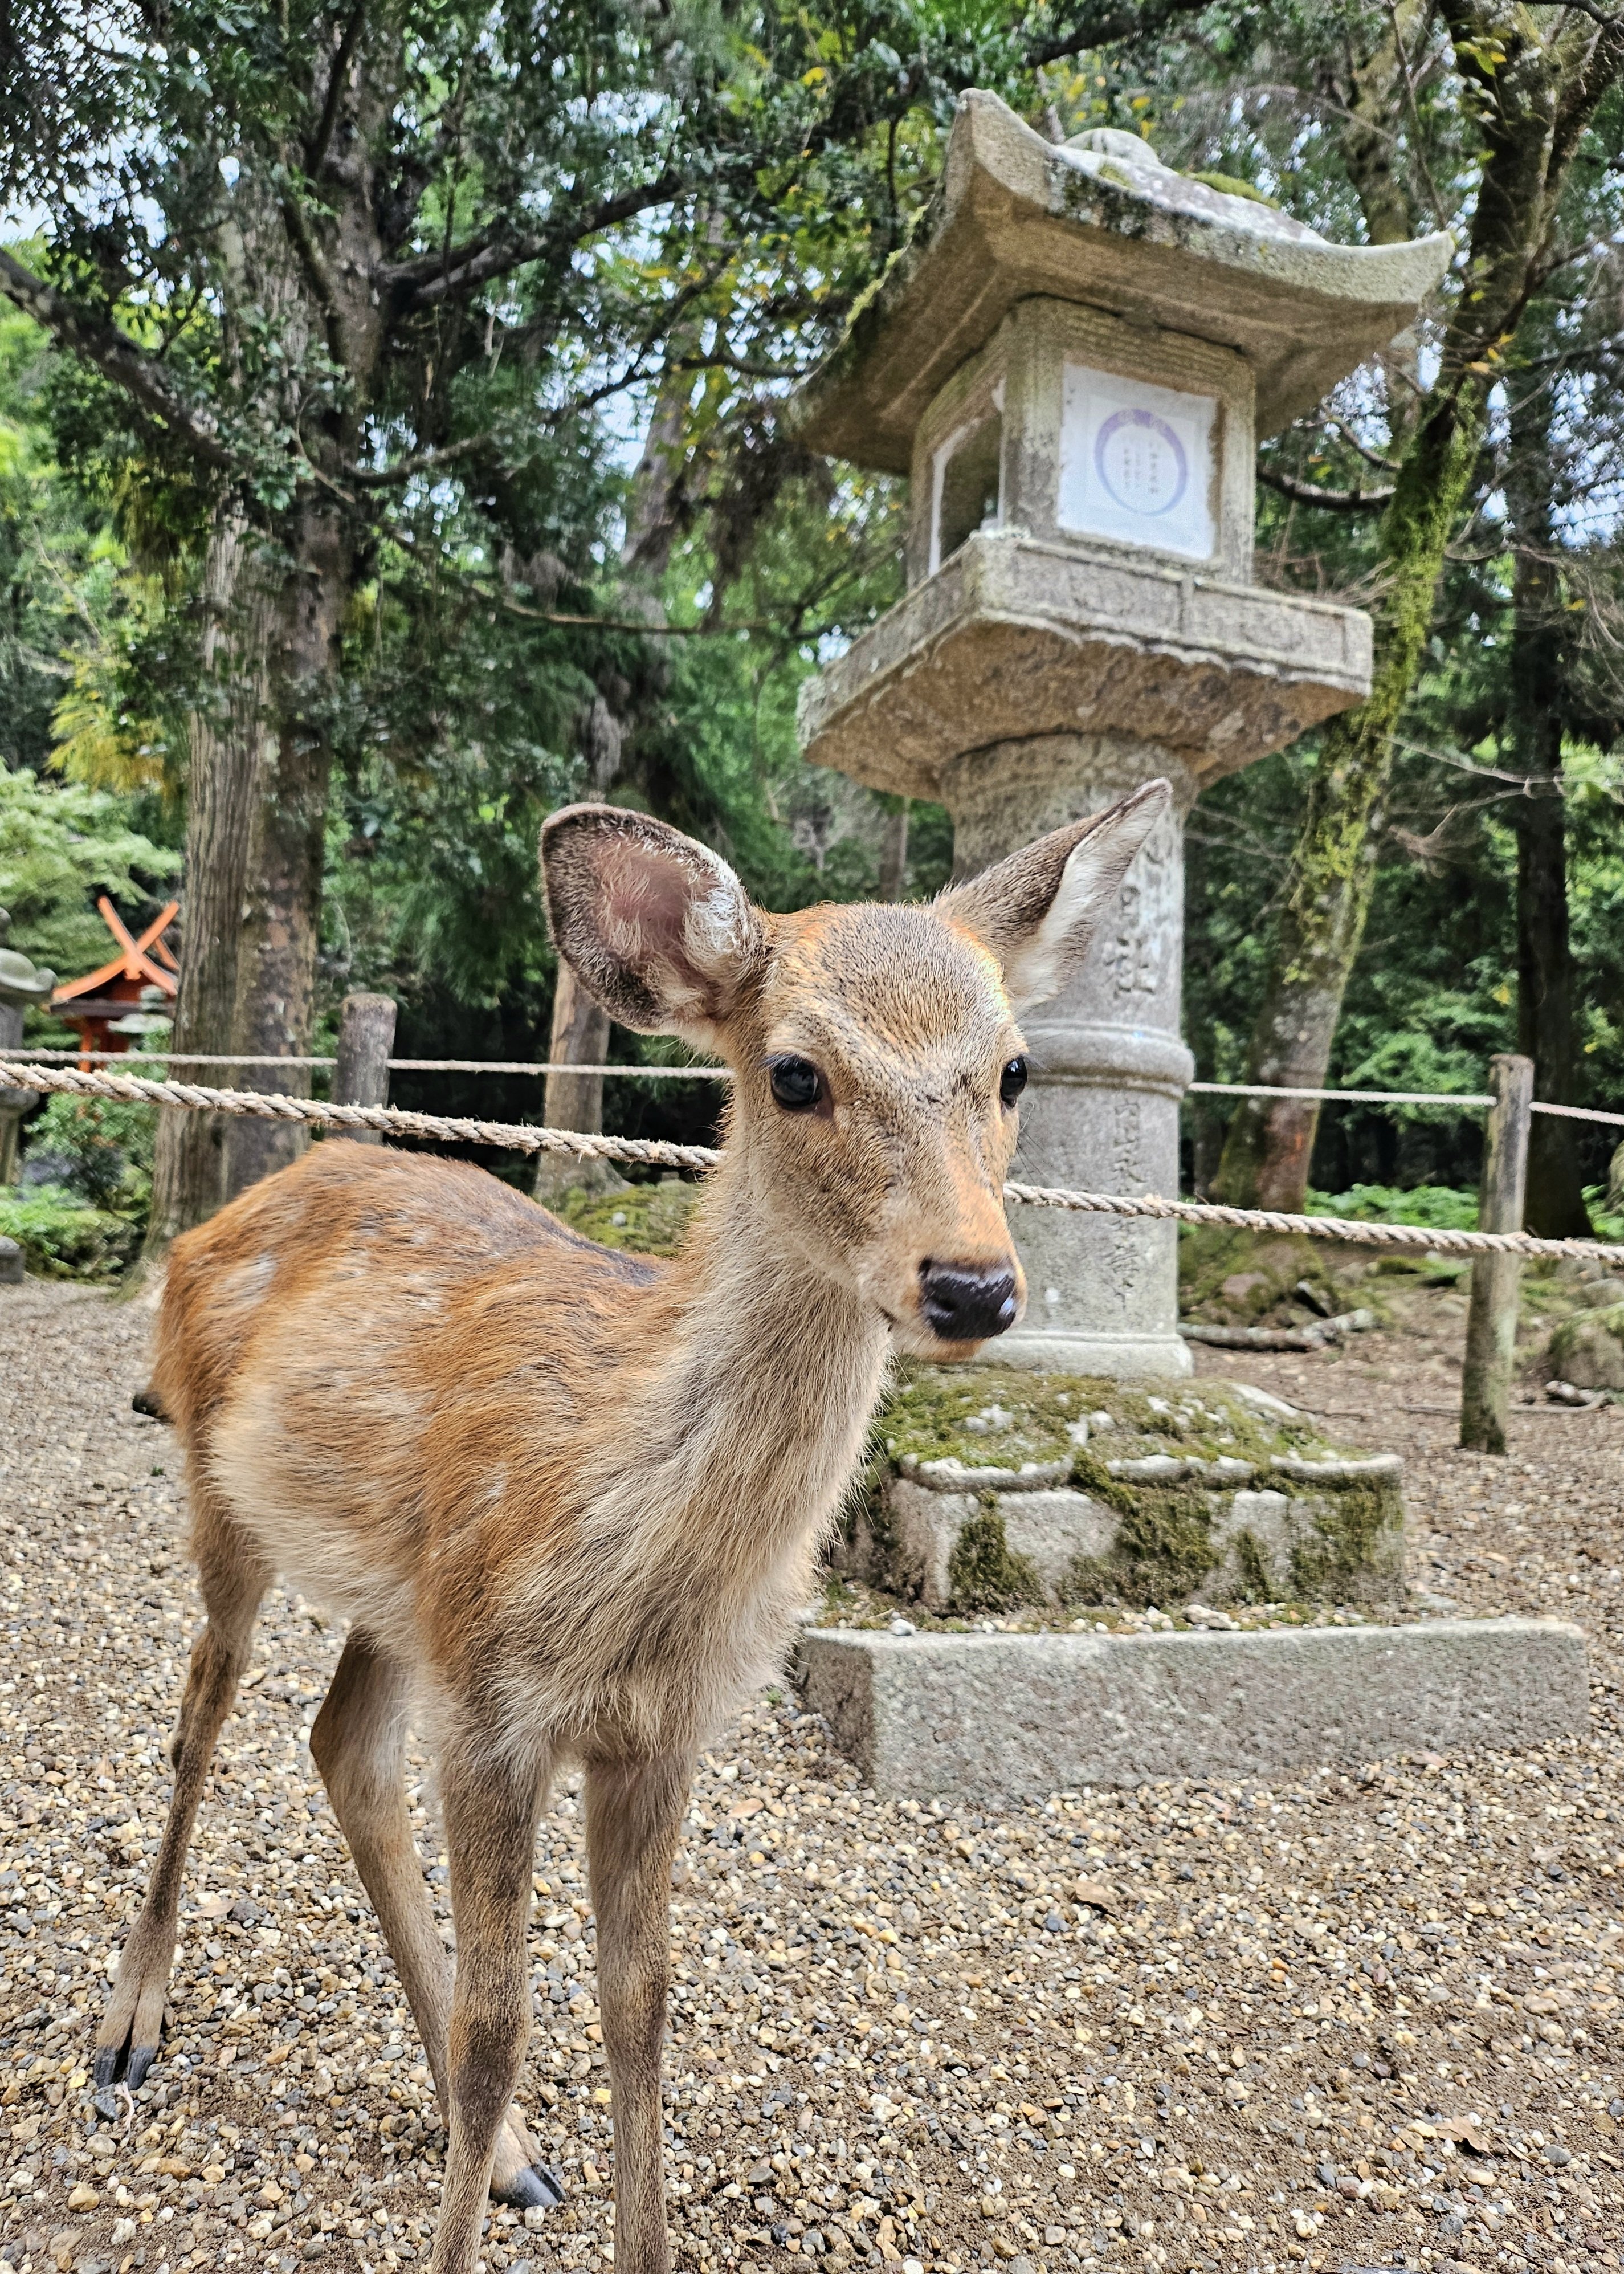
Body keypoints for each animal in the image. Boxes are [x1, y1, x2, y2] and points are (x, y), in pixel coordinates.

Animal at [91, 778, 1170, 2274]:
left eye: (1015, 1072)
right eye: (794, 1074)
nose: (971, 1284)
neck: (633, 1553)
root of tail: (228, 1213)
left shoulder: (654, 1725)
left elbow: (640, 2008)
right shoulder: (497, 1712)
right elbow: (505, 2023)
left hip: (404, 1603)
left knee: (341, 1748)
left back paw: (510, 2160)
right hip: (215, 1489)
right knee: (200, 1724)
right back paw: (128, 2035)